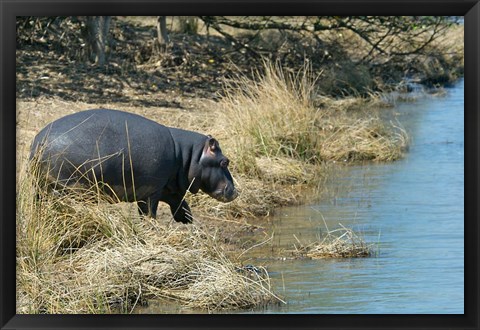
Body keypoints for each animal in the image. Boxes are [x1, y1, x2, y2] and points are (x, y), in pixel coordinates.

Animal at [30, 109, 238, 223]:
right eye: (225, 161)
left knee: (39, 203)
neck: (188, 155)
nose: (236, 192)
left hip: (40, 187)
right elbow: (150, 212)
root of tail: (38, 142)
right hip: (66, 186)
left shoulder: (166, 186)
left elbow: (179, 202)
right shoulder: (153, 190)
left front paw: (187, 220)